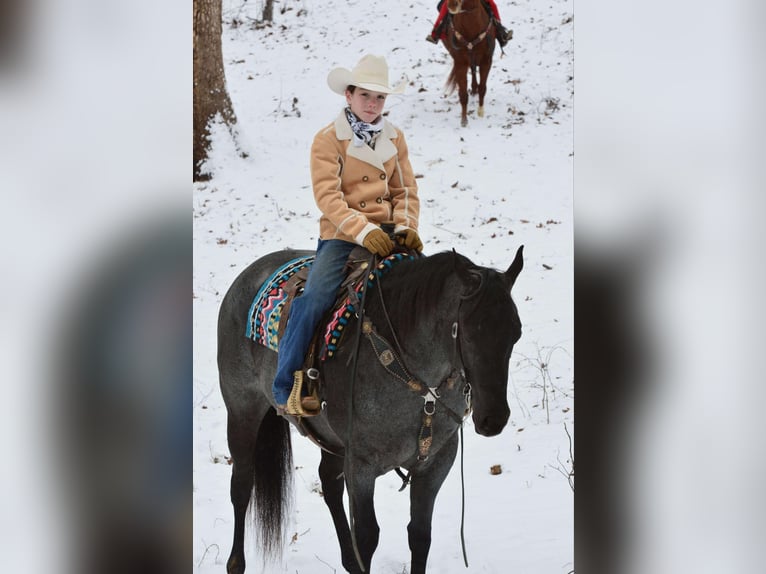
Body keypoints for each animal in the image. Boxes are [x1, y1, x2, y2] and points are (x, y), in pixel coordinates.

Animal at [219, 245, 524, 572]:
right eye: (467, 333)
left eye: (515, 333)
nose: (493, 418)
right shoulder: (361, 466)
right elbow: (367, 537)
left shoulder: (436, 462)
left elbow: (419, 534)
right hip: (243, 411)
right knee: (241, 485)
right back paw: (235, 563)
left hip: (331, 440)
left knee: (329, 485)